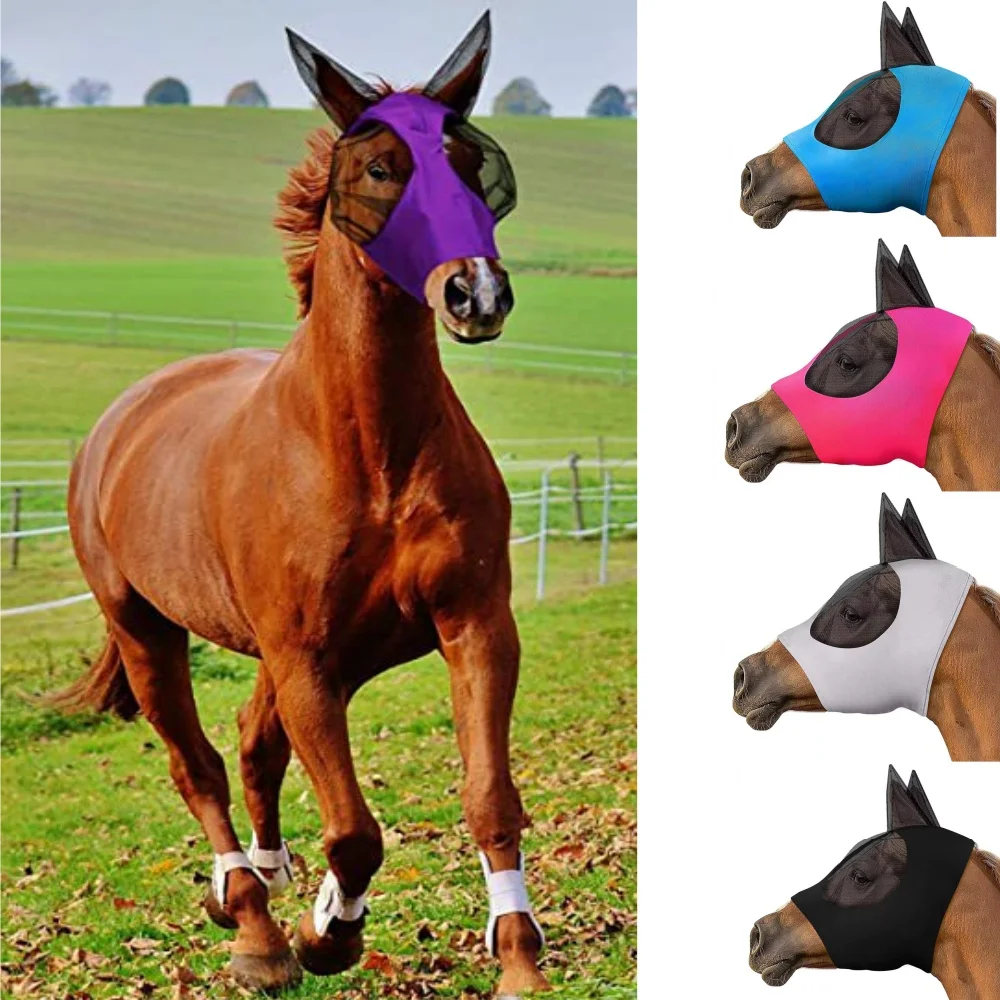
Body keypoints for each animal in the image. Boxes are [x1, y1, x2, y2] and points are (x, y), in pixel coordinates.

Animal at [51, 13, 549, 995]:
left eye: (469, 163)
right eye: (381, 169)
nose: (475, 291)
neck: (370, 451)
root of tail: (121, 420)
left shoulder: (473, 625)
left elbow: (488, 797)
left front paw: (516, 958)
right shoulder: (306, 660)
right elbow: (354, 831)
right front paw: (329, 935)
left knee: (253, 742)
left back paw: (267, 880)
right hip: (150, 632)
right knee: (198, 764)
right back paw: (252, 922)